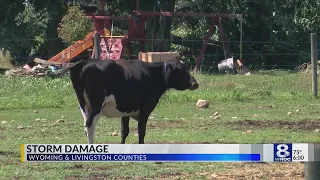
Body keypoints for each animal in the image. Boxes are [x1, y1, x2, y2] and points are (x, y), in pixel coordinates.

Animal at [66, 58, 199, 144]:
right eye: (181, 70)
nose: (195, 83)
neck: (153, 75)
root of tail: (85, 62)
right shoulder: (145, 108)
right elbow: (141, 130)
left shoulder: (126, 110)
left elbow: (124, 131)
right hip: (96, 105)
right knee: (89, 125)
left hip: (84, 105)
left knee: (86, 125)